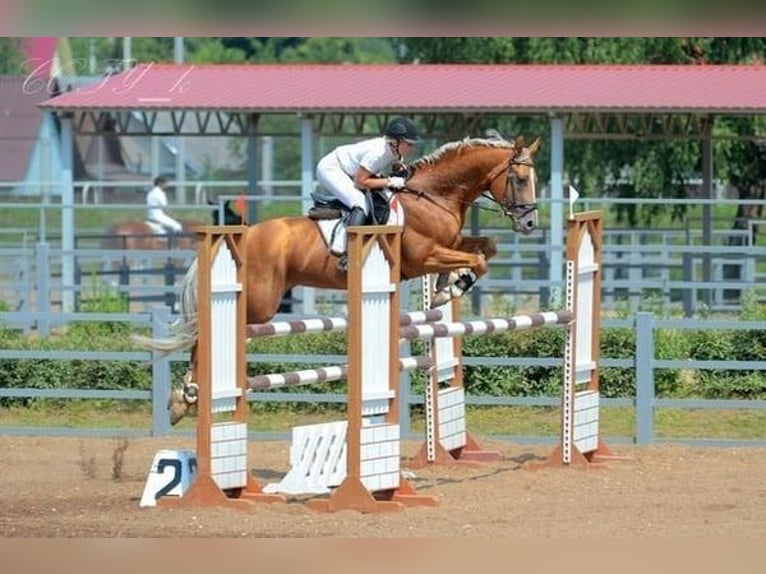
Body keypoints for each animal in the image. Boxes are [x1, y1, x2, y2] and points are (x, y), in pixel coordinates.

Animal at [135, 134, 544, 424]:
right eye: (520, 178)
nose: (529, 224)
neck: (432, 196)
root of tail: (244, 235)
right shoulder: (422, 257)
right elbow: (478, 260)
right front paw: (452, 287)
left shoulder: (448, 245)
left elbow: (485, 248)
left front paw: (447, 285)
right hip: (259, 302)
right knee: (204, 334)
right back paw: (184, 397)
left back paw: (185, 397)